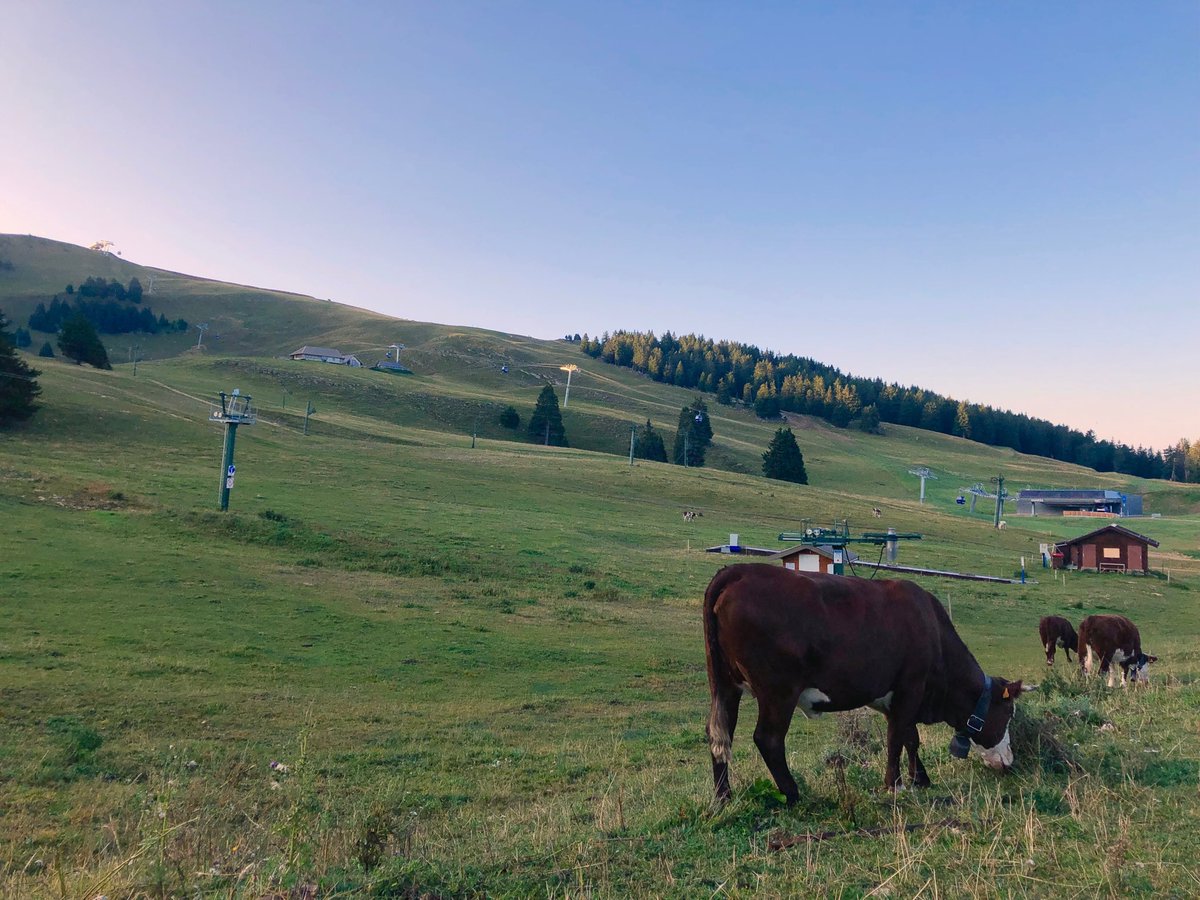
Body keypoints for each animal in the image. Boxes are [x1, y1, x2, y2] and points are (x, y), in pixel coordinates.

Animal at [704, 564, 1030, 803]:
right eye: (1008, 713)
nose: (1009, 760)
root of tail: (742, 570)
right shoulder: (911, 687)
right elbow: (896, 738)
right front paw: (895, 784)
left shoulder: (896, 699)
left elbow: (910, 737)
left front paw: (920, 778)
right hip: (779, 691)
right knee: (768, 738)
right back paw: (794, 793)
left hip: (726, 686)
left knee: (720, 734)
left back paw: (723, 796)